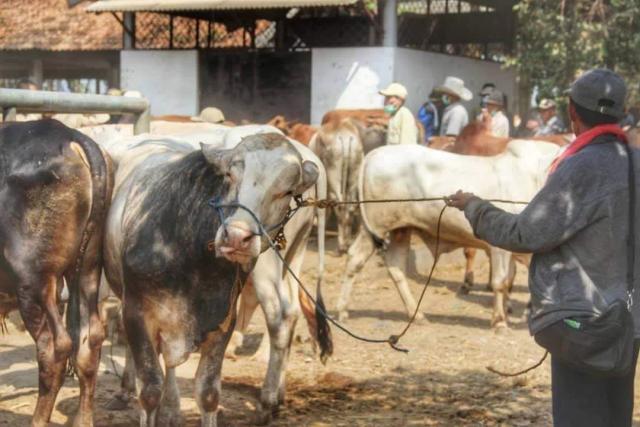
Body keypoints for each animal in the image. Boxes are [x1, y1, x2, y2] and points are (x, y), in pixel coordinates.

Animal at [0, 118, 112, 426]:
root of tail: (68, 135)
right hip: (86, 269)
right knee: (89, 341)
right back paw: (83, 420)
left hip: (34, 280)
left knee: (54, 347)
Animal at [338, 140, 564, 328]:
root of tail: (373, 154)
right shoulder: (500, 247)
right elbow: (500, 282)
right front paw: (499, 321)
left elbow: (509, 281)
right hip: (376, 226)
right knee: (355, 259)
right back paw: (343, 311)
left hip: (401, 229)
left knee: (396, 267)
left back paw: (417, 315)